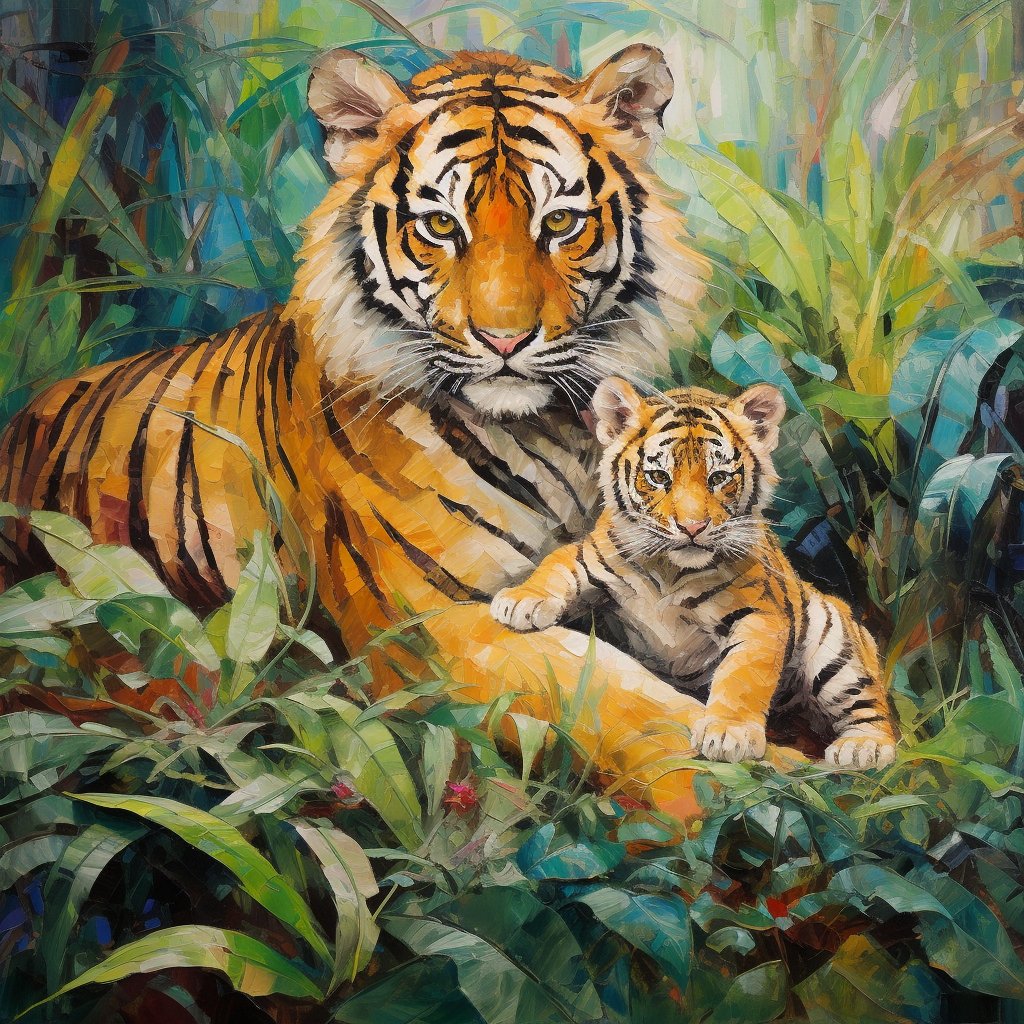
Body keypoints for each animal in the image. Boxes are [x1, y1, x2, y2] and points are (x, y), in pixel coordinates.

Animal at [0, 46, 723, 818]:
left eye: (559, 223)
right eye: (442, 227)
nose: (504, 340)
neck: (551, 433)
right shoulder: (428, 621)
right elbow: (617, 705)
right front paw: (741, 792)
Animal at [491, 376, 899, 768]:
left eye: (719, 478)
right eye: (658, 476)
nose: (692, 527)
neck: (668, 568)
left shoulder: (760, 615)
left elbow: (743, 675)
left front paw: (729, 733)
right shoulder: (590, 556)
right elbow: (554, 564)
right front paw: (519, 601)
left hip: (835, 645)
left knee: (872, 708)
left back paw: (864, 748)